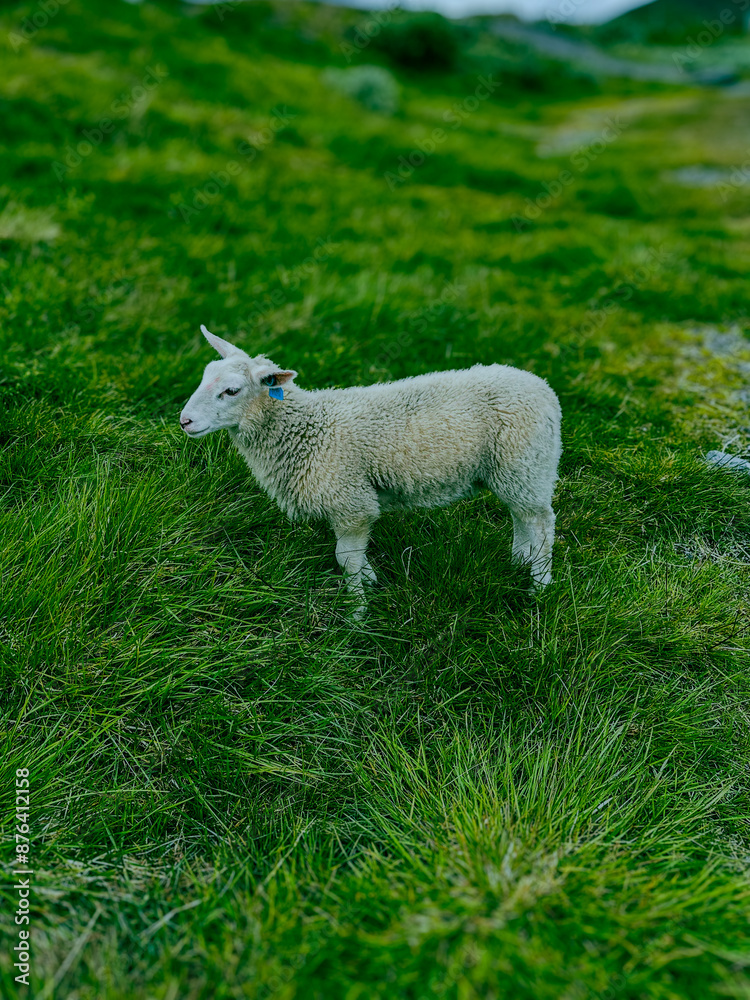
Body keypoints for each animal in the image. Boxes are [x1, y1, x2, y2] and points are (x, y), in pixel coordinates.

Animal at [180, 325, 562, 616]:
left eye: (232, 390)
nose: (185, 421)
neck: (307, 429)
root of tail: (543, 388)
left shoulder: (351, 502)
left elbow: (344, 558)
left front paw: (358, 612)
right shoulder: (353, 503)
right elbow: (355, 557)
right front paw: (371, 581)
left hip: (526, 463)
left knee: (541, 524)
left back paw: (539, 587)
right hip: (514, 471)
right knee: (522, 517)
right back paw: (519, 562)